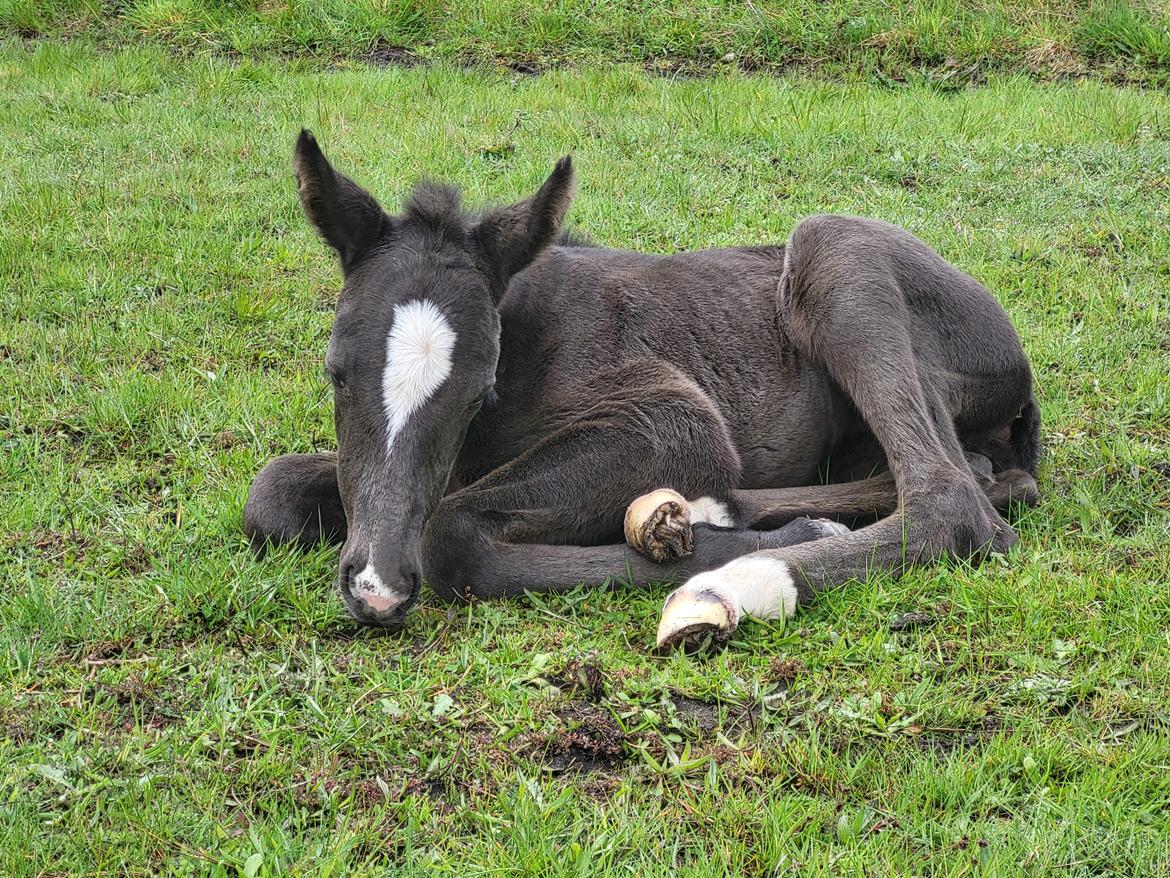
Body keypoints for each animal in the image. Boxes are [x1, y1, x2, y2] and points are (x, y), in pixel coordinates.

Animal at [242, 132, 1038, 655]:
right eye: (335, 372)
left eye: (476, 394)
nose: (376, 586)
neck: (527, 333)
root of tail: (1017, 363)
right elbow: (270, 492)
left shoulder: (673, 415)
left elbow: (452, 536)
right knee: (976, 477)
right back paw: (717, 513)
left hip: (833, 253)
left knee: (948, 498)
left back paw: (733, 582)